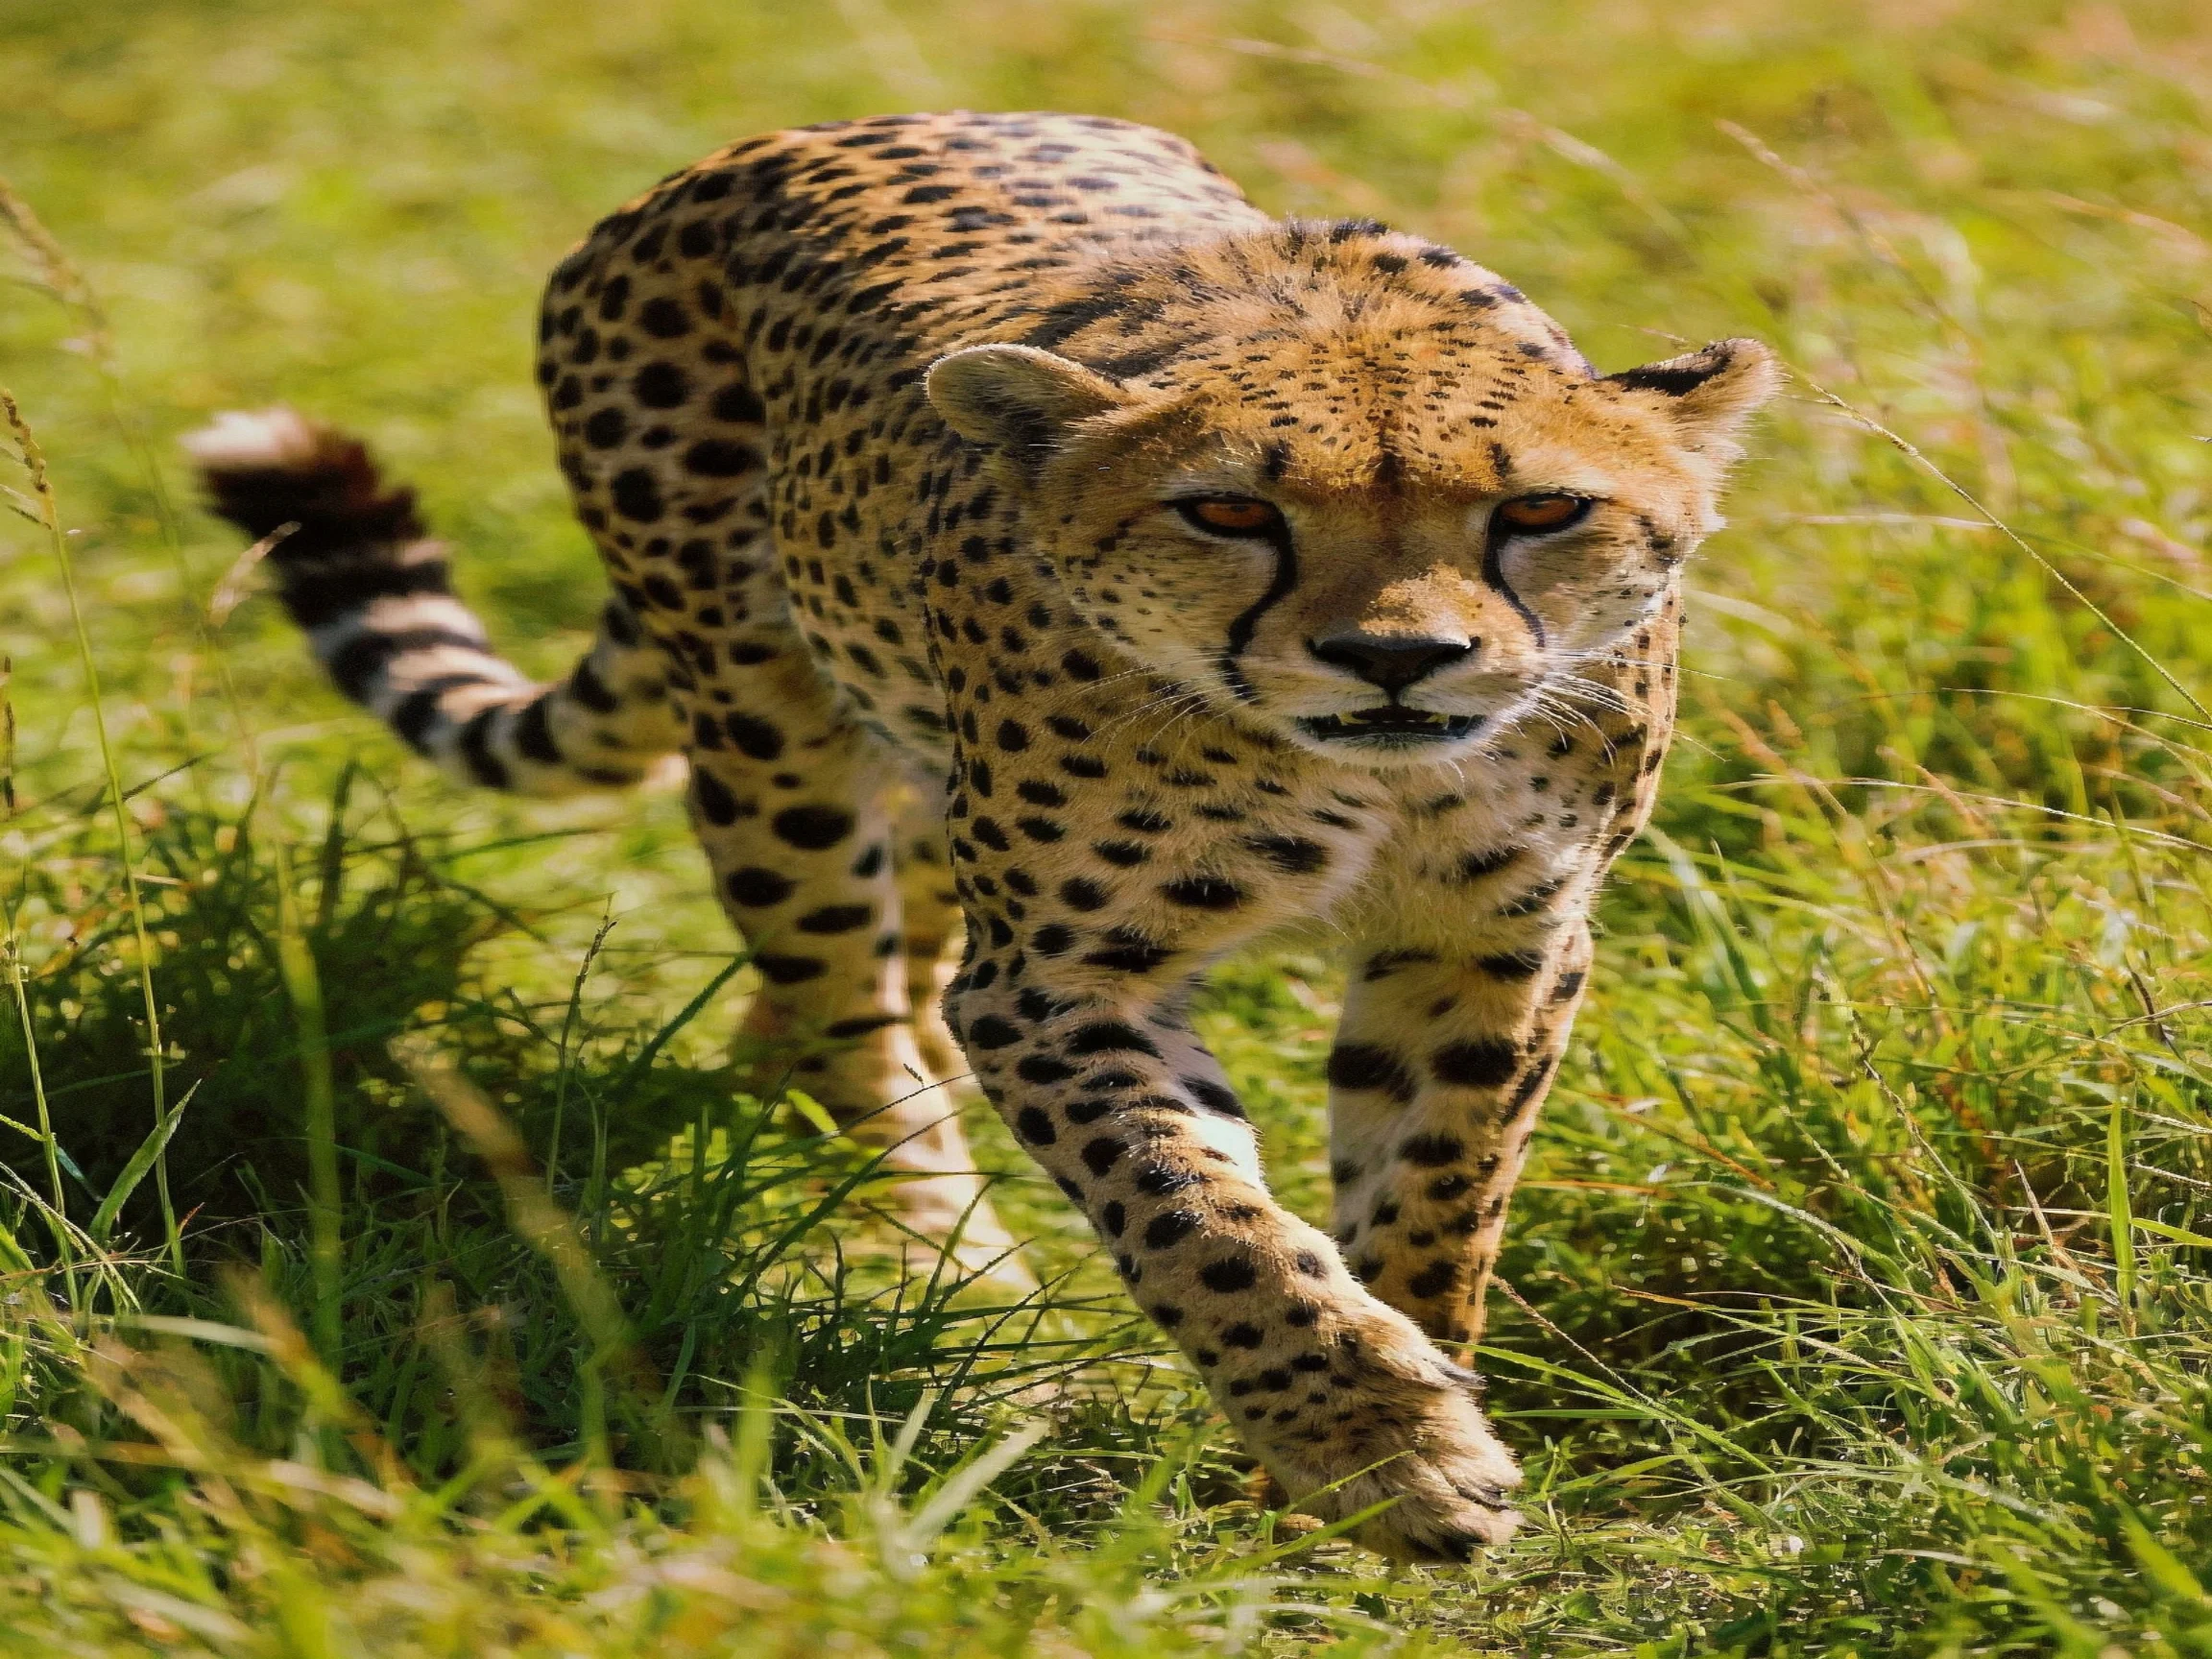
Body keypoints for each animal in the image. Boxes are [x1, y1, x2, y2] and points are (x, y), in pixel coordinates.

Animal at [184, 109, 1778, 1563]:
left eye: (1542, 508)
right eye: (1227, 512)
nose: (1397, 660)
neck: (1361, 782)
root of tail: (771, 142)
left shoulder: (1497, 938)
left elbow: (1444, 1181)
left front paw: (1392, 1404)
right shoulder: (1062, 976)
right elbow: (1198, 1212)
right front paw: (1380, 1448)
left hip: (917, 779)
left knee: (840, 1004)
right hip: (771, 739)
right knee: (845, 1019)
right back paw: (934, 1271)